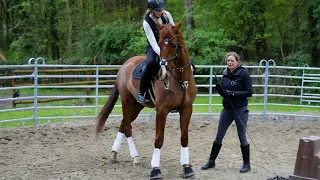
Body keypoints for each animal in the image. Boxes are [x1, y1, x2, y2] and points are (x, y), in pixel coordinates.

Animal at [95, 19, 196, 179]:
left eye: (174, 45)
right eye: (159, 43)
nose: (163, 73)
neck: (181, 80)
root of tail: (124, 65)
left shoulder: (187, 109)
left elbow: (184, 137)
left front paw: (187, 167)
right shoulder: (162, 111)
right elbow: (159, 139)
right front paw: (155, 169)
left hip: (137, 106)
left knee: (123, 123)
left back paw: (114, 155)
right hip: (126, 102)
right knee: (127, 127)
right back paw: (135, 157)